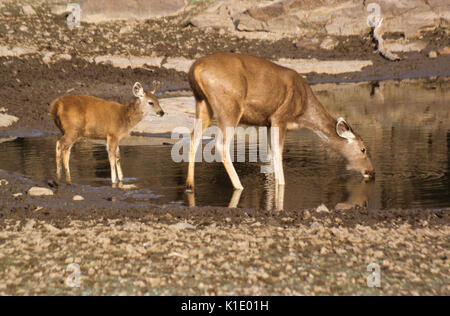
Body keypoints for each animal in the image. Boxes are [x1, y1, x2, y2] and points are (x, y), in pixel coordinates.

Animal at [185, 52, 372, 190]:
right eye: (363, 149)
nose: (371, 171)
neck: (303, 111)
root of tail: (195, 69)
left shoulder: (268, 123)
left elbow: (269, 154)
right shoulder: (279, 118)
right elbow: (278, 153)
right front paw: (282, 185)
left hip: (203, 104)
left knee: (194, 137)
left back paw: (190, 184)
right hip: (229, 106)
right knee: (221, 144)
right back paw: (239, 186)